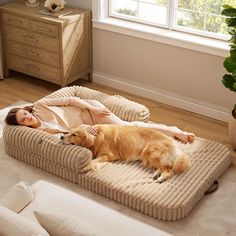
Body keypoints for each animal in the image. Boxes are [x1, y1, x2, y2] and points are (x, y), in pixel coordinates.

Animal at [60, 124, 190, 183]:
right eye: (68, 132)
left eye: (74, 135)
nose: (61, 136)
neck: (96, 137)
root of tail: (173, 143)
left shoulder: (107, 155)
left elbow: (93, 161)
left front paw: (86, 167)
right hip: (150, 157)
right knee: (164, 166)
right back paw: (157, 174)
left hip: (151, 153)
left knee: (168, 170)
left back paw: (161, 178)